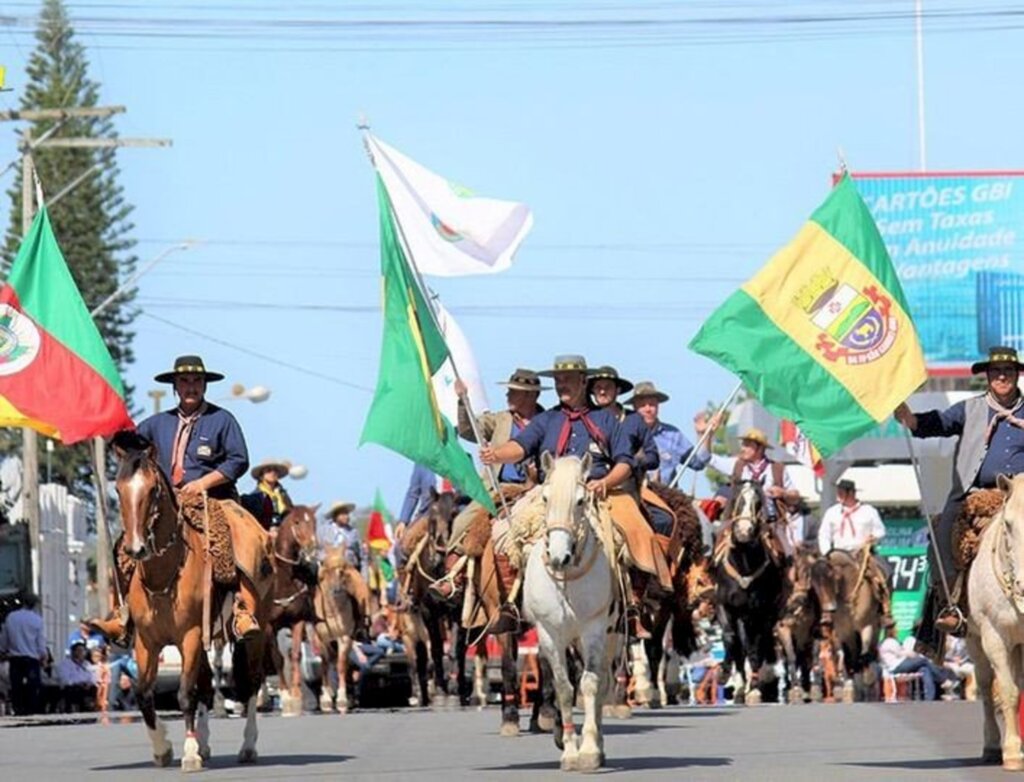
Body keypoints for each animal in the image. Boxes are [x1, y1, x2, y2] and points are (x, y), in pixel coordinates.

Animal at [111, 429, 268, 773]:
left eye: (153, 489)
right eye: (118, 488)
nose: (136, 548)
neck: (163, 577)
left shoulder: (191, 635)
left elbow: (185, 694)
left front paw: (191, 753)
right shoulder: (146, 641)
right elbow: (144, 694)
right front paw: (163, 748)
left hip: (256, 634)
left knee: (251, 684)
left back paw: (248, 746)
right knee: (207, 686)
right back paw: (208, 743)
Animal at [264, 507, 319, 716]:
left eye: (314, 521)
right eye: (296, 522)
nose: (312, 546)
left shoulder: (298, 621)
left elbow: (295, 655)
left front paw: (296, 694)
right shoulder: (269, 626)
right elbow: (277, 658)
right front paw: (285, 694)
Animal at [520, 448, 614, 773]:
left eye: (581, 501)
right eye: (545, 498)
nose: (559, 557)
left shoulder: (594, 630)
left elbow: (589, 684)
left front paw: (589, 750)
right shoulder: (549, 635)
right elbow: (563, 687)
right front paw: (570, 752)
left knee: (603, 682)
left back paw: (599, 745)